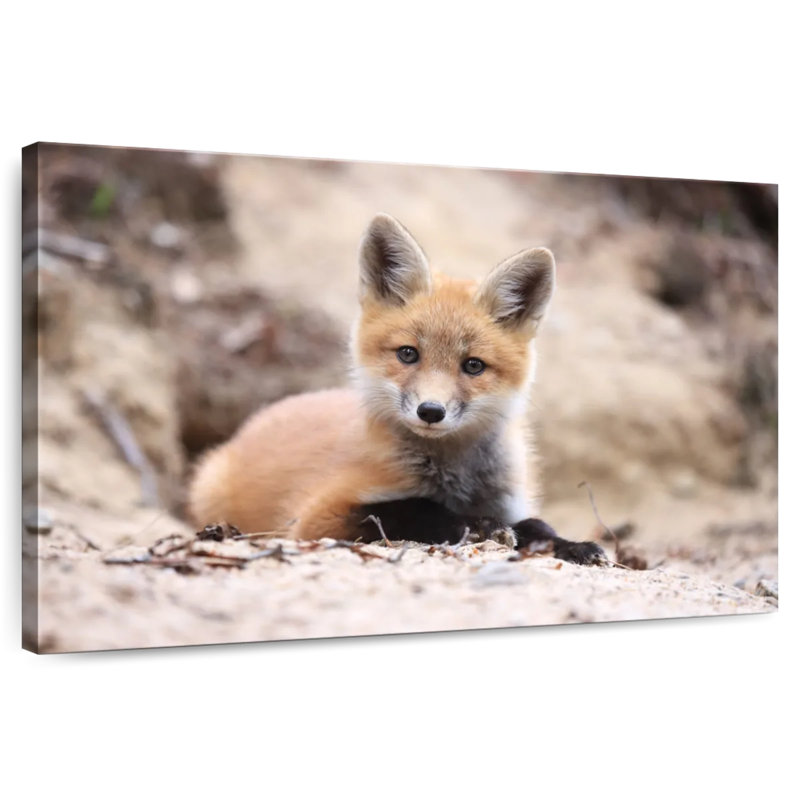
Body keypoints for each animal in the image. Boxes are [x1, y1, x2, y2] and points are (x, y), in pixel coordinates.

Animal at [188, 213, 607, 565]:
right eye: (408, 354)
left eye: (473, 365)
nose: (431, 411)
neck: (455, 481)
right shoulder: (316, 519)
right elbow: (411, 508)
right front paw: (479, 526)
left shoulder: (510, 502)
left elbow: (537, 525)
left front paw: (573, 545)